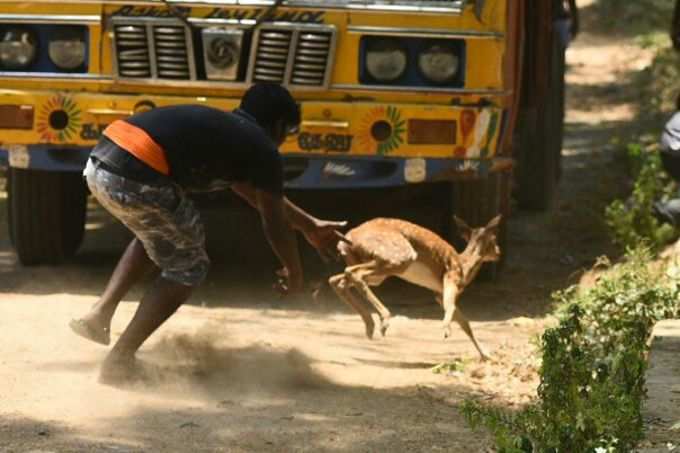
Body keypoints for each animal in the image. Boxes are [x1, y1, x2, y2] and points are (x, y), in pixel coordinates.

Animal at [326, 215, 502, 360]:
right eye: (494, 238)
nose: (499, 252)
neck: (464, 268)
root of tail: (347, 239)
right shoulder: (450, 279)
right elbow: (452, 308)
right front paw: (446, 331)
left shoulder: (438, 293)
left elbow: (465, 323)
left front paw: (486, 355)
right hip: (398, 257)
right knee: (352, 273)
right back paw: (384, 320)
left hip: (374, 271)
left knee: (337, 279)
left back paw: (370, 326)